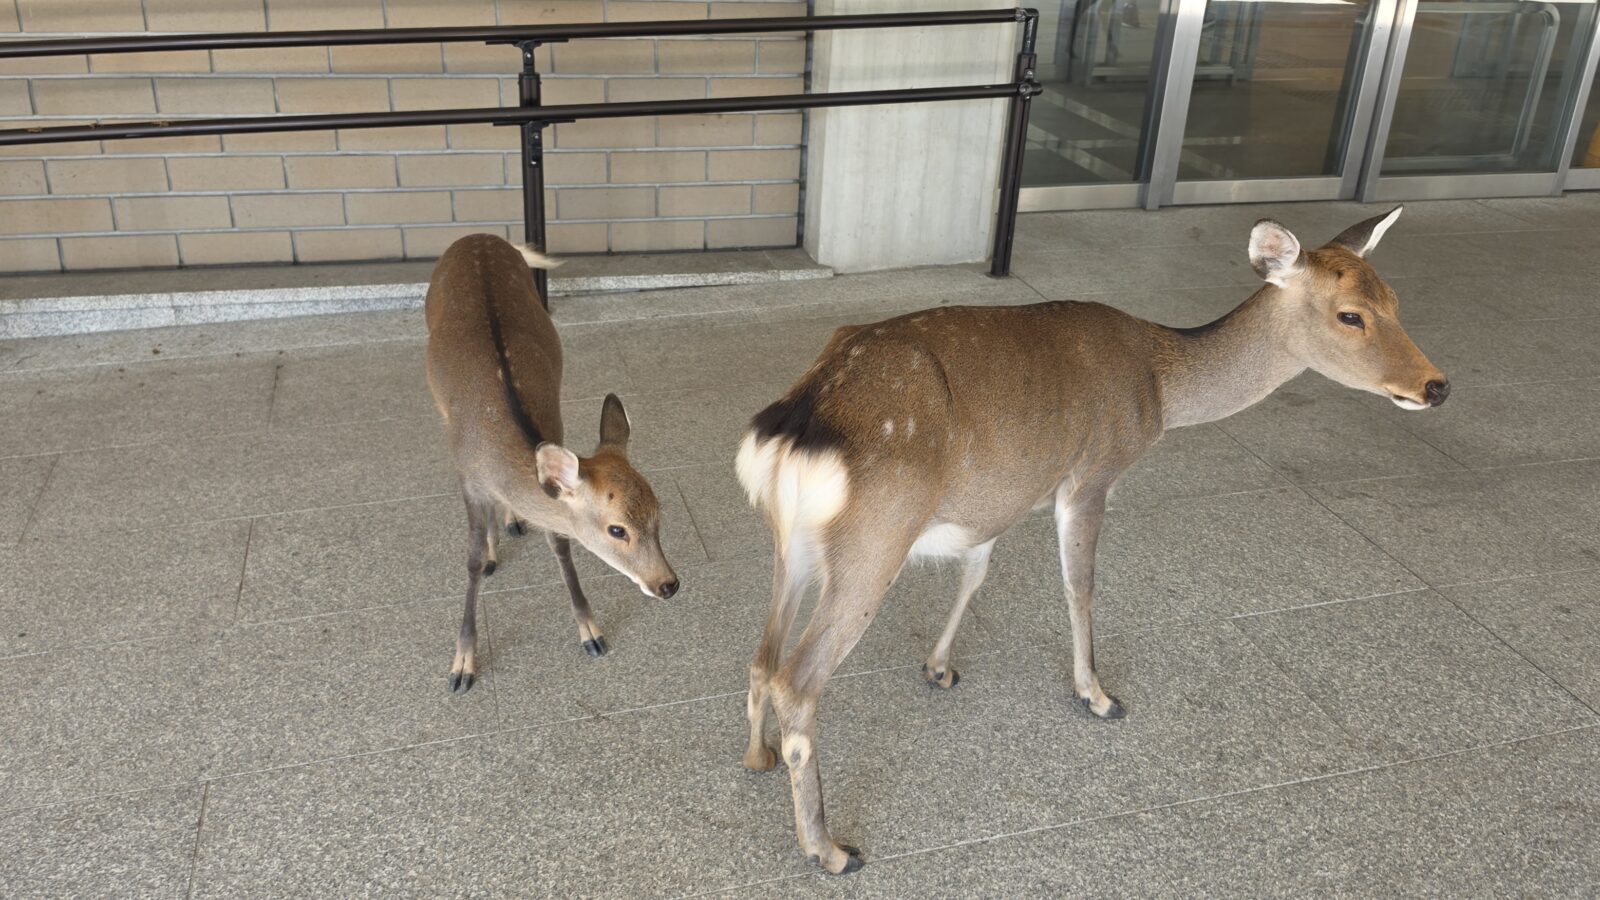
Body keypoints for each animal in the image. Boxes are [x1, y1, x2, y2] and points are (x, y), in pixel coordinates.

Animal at [424, 233, 679, 694]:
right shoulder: (466, 477)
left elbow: (560, 545)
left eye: (659, 512)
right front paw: (462, 665)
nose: (667, 584)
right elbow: (471, 558)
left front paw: (591, 633)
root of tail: (479, 236)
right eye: (617, 529)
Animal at [734, 207, 1448, 873]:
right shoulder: (1092, 472)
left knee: (763, 654)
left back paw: (757, 755)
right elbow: (1080, 585)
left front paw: (939, 667)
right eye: (1351, 315)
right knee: (799, 678)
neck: (1161, 385)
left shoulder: (999, 494)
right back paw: (829, 848)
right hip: (875, 538)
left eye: (1395, 299)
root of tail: (793, 427)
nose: (1436, 386)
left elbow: (976, 570)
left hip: (794, 544)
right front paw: (1098, 694)